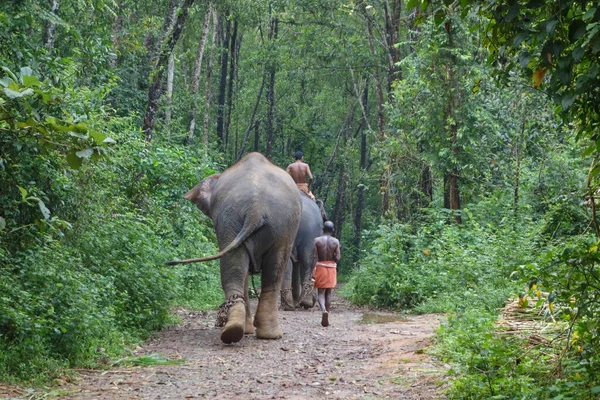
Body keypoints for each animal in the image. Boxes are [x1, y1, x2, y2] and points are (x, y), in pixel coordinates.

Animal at [166, 152, 300, 344]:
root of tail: (255, 206)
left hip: (254, 221)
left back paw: (246, 332)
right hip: (258, 220)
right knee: (262, 269)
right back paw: (249, 332)